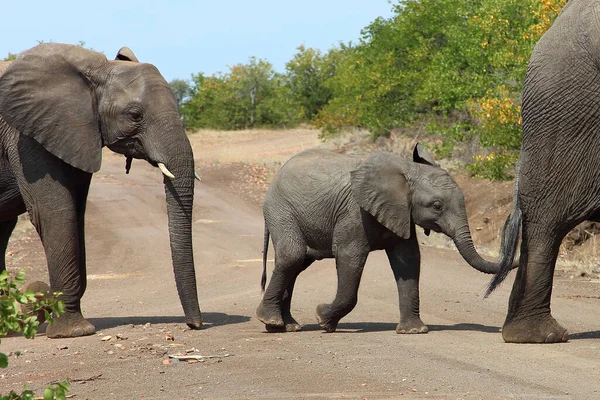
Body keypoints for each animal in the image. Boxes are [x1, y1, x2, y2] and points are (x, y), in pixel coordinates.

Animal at [0, 43, 203, 338]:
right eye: (135, 115)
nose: (196, 324)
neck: (94, 73)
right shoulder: (25, 137)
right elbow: (56, 212)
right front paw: (75, 331)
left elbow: (77, 211)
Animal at [255, 145, 512, 332]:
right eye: (437, 206)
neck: (407, 171)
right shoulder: (354, 212)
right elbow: (349, 256)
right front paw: (323, 319)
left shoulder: (402, 212)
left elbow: (408, 260)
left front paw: (414, 331)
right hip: (281, 210)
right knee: (293, 256)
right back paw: (273, 322)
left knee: (297, 263)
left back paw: (285, 326)